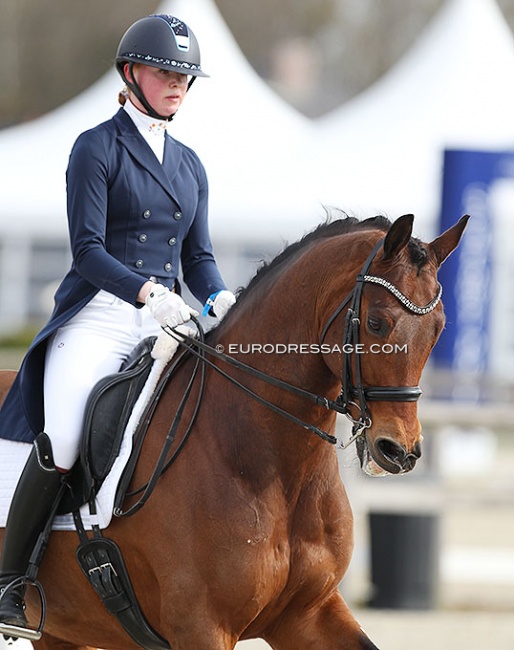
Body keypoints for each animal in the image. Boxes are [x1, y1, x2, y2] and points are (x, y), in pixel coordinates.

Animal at [0, 214, 466, 648]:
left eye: (439, 328)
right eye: (376, 324)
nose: (399, 451)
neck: (270, 467)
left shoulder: (308, 613)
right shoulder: (200, 627)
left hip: (63, 631)